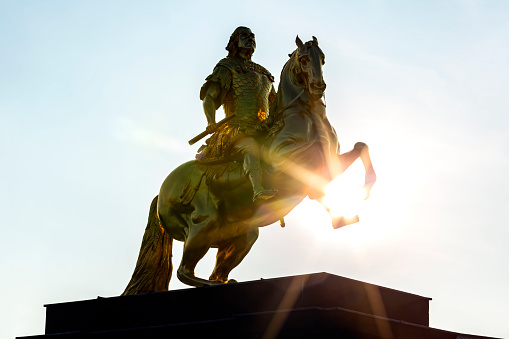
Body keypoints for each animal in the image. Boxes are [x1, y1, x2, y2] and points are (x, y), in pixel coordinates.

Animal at [121, 36, 376, 294]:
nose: (318, 86)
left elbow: (360, 148)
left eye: (322, 58)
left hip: (242, 235)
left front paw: (358, 194)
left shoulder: (333, 159)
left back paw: (223, 281)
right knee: (184, 271)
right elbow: (318, 158)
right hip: (203, 224)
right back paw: (210, 284)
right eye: (304, 58)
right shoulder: (282, 164)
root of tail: (161, 193)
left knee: (217, 269)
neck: (305, 119)